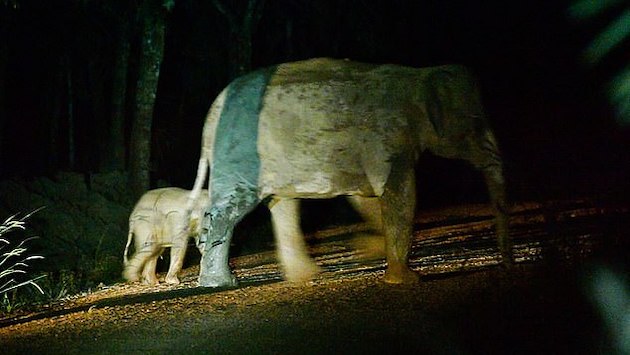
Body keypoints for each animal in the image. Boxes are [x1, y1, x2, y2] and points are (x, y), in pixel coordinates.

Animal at [189, 57, 512, 288]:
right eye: (476, 123)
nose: (505, 265)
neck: (418, 76)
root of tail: (210, 116)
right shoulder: (387, 137)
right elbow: (399, 193)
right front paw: (406, 280)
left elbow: (366, 198)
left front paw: (368, 248)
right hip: (241, 154)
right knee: (231, 210)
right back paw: (222, 283)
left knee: (283, 204)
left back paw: (306, 277)